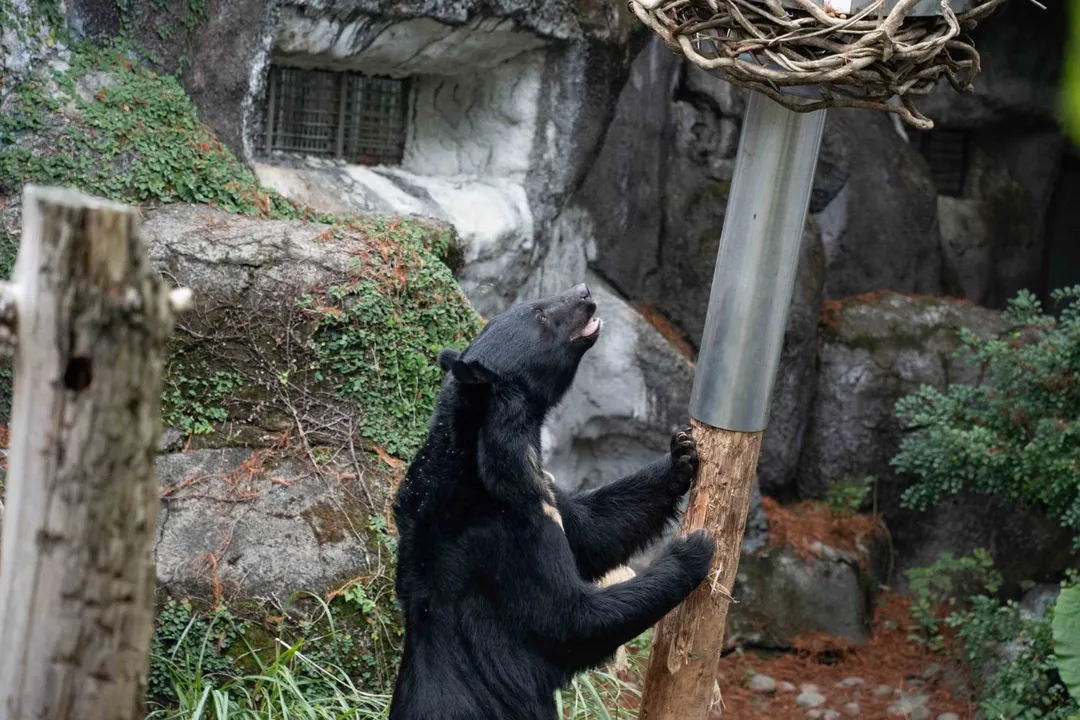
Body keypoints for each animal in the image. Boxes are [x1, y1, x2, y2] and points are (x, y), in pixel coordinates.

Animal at [388, 283, 716, 720]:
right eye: (541, 315)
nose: (584, 290)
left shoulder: (543, 492)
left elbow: (595, 530)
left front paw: (681, 455)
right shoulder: (502, 540)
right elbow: (568, 621)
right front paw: (692, 550)